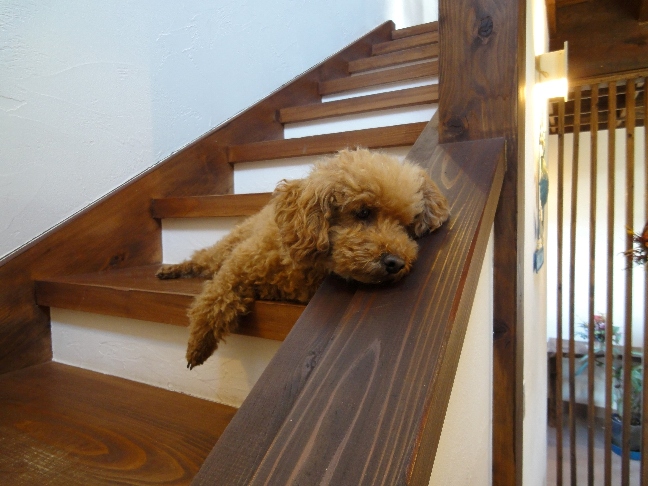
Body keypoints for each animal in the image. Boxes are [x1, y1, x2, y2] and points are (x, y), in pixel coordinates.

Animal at [157, 149, 449, 369]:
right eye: (364, 212)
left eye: (406, 225)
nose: (395, 263)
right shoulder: (238, 266)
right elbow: (214, 299)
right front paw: (198, 344)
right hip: (231, 243)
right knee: (204, 259)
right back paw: (171, 270)